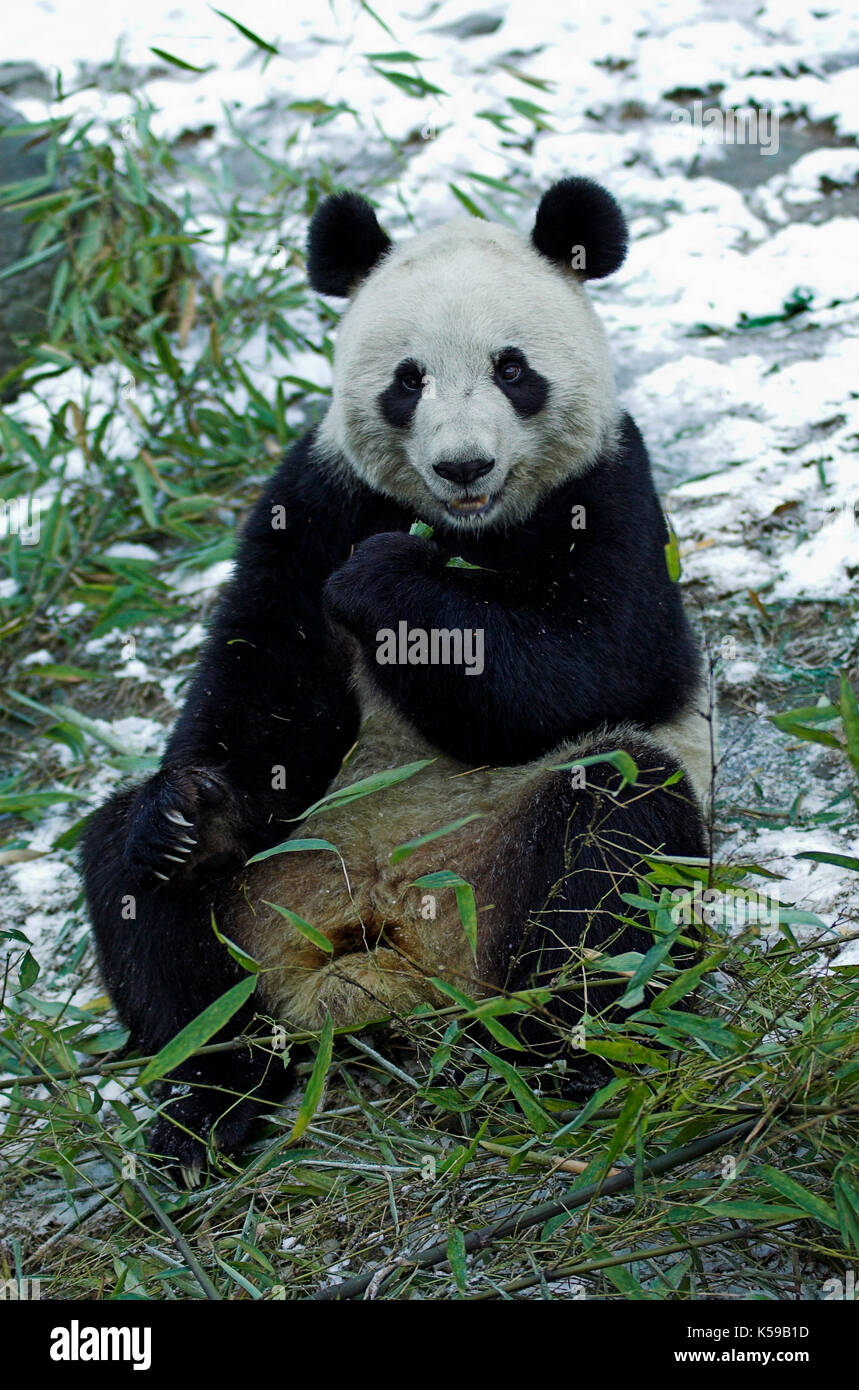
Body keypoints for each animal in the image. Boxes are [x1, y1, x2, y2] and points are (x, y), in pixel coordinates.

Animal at [80, 173, 708, 1173]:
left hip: (502, 872)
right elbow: (268, 681)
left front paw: (384, 579)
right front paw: (194, 817)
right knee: (147, 905)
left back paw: (568, 1051)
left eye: (512, 369)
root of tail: (382, 955)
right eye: (407, 380)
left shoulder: (608, 485)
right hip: (278, 877)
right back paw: (210, 1098)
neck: (466, 526)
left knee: (613, 839)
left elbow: (599, 660)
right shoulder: (317, 491)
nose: (462, 464)